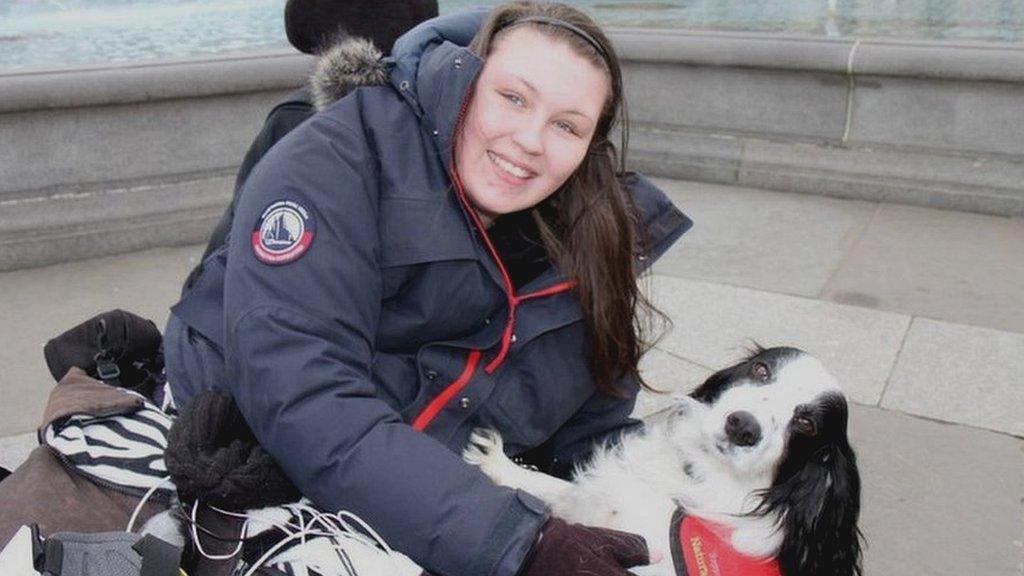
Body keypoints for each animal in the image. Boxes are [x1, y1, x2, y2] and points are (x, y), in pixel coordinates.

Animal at [466, 344, 864, 573]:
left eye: (807, 424)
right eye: (761, 370)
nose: (742, 426)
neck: (697, 474)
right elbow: (558, 490)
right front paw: (500, 464)